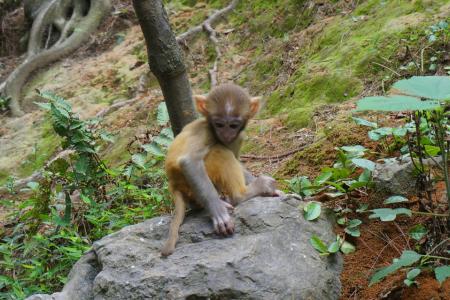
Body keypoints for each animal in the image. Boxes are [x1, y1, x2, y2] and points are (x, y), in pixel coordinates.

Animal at [162, 83, 282, 256]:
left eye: (233, 125)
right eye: (219, 124)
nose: (226, 134)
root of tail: (174, 184)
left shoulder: (235, 135)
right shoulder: (205, 131)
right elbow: (189, 162)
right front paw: (218, 211)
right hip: (188, 183)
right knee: (219, 151)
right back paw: (241, 194)